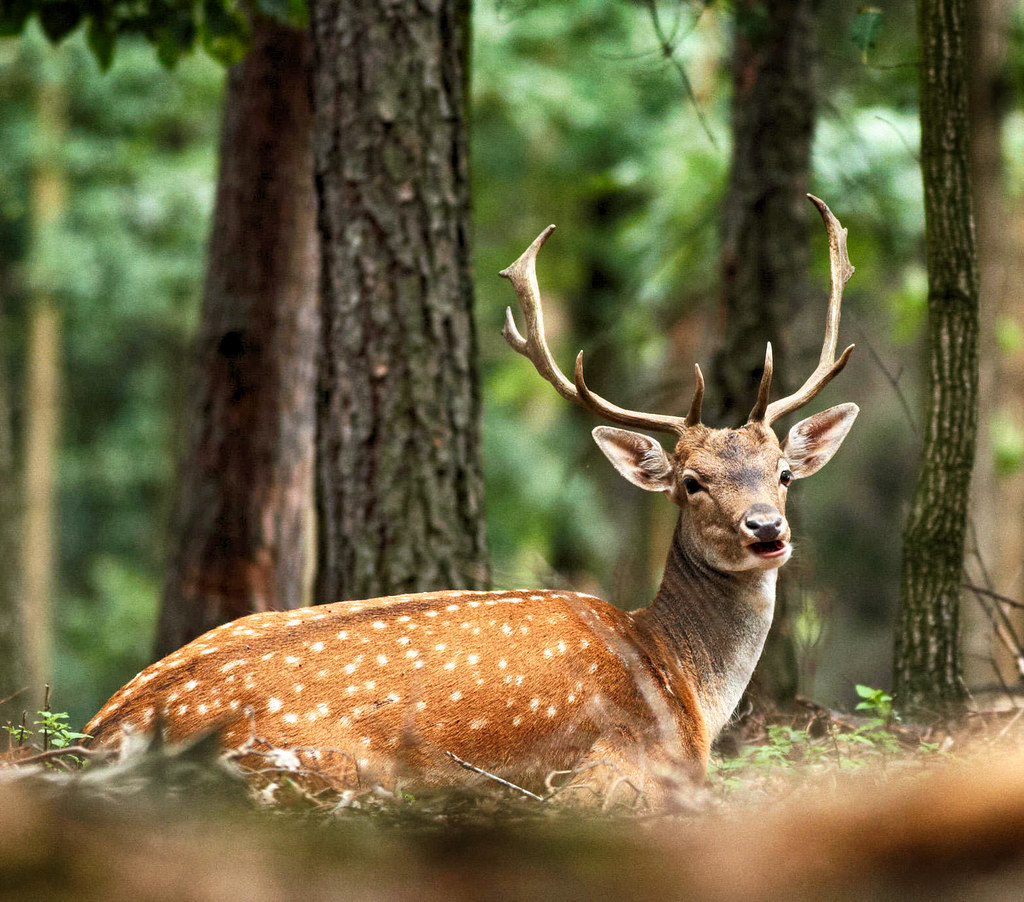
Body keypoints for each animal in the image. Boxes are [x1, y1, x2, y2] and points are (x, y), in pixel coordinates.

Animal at [83, 195, 858, 808]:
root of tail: (100, 735)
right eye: (691, 482)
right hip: (322, 767)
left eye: (783, 473)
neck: (686, 685)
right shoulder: (621, 769)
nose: (766, 529)